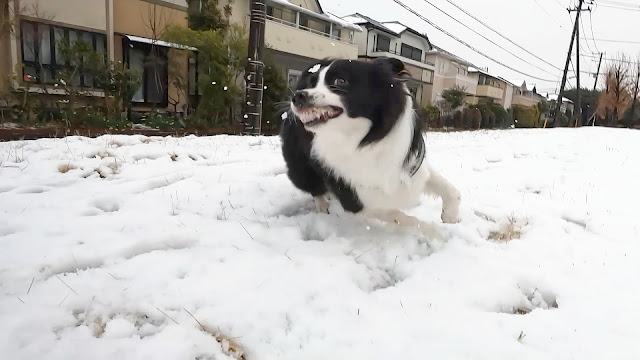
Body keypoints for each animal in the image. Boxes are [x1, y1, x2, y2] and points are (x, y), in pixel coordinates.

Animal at [280, 57, 460, 236]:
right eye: (311, 85)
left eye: (340, 81)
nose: (297, 96)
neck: (364, 138)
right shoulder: (354, 197)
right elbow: (401, 217)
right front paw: (436, 233)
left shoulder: (409, 166)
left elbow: (450, 188)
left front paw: (450, 215)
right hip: (300, 165)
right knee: (311, 184)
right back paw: (322, 205)